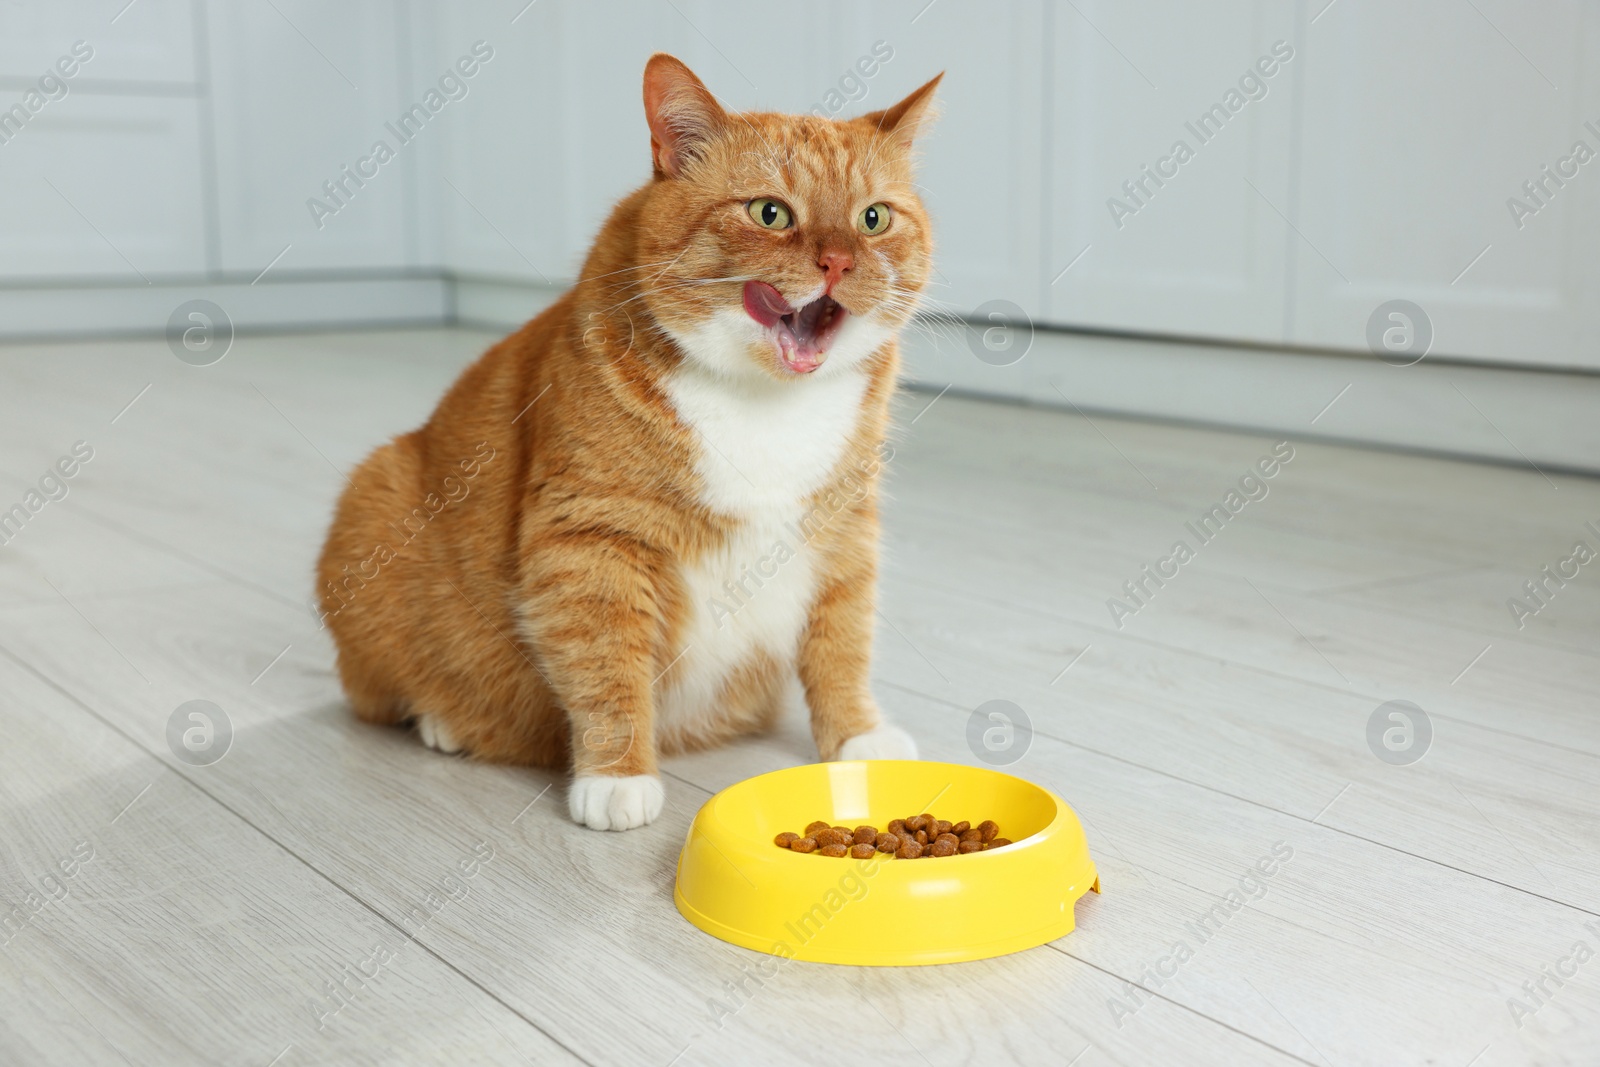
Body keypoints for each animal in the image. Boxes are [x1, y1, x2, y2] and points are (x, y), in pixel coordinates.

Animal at [315, 54, 934, 831]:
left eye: (873, 219)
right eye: (770, 213)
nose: (838, 262)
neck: (766, 407)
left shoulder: (843, 531)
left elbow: (842, 642)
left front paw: (857, 736)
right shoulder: (590, 540)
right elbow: (606, 665)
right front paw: (617, 777)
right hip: (379, 487)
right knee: (383, 693)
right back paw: (444, 721)